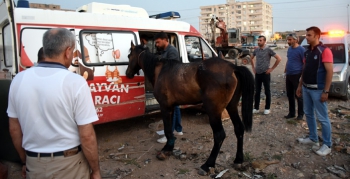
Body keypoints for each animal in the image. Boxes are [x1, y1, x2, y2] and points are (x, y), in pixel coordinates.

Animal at [126, 42, 254, 176]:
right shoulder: (172, 107)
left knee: (219, 135)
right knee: (239, 129)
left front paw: (165, 150)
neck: (160, 70)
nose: (128, 73)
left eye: (129, 56)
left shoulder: (165, 106)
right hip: (231, 107)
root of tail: (233, 67)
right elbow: (170, 130)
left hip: (213, 111)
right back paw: (238, 160)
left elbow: (167, 129)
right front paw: (169, 147)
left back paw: (207, 165)